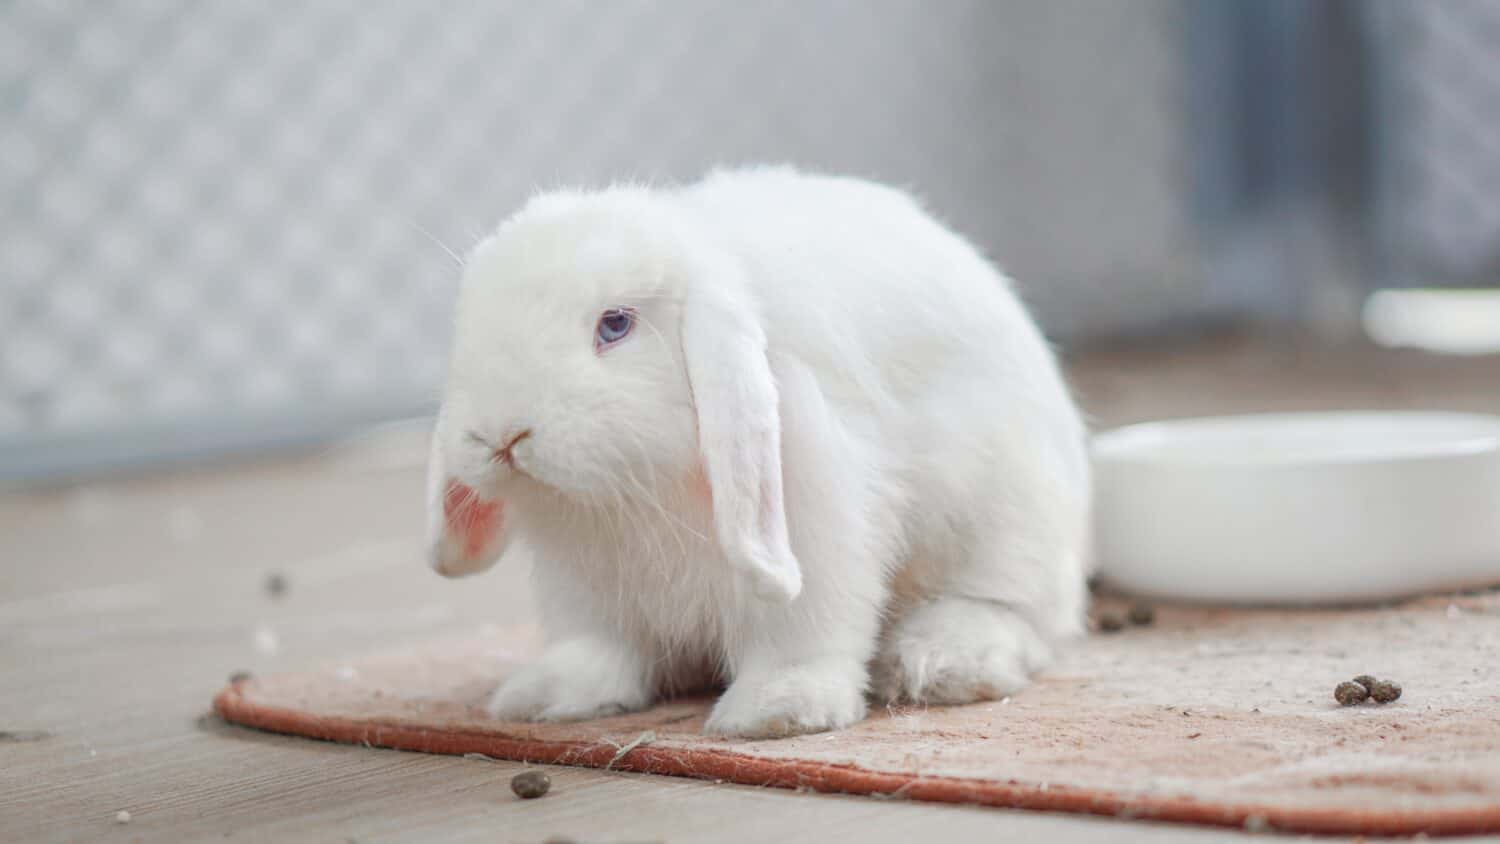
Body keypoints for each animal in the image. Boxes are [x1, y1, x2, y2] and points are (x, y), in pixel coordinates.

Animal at [423, 167, 1092, 740]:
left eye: (615, 325)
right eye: (471, 323)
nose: (498, 435)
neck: (634, 498)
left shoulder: (819, 530)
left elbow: (802, 633)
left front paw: (778, 711)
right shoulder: (584, 591)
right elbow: (596, 649)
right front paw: (546, 697)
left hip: (1007, 517)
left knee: (1017, 612)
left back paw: (942, 661)